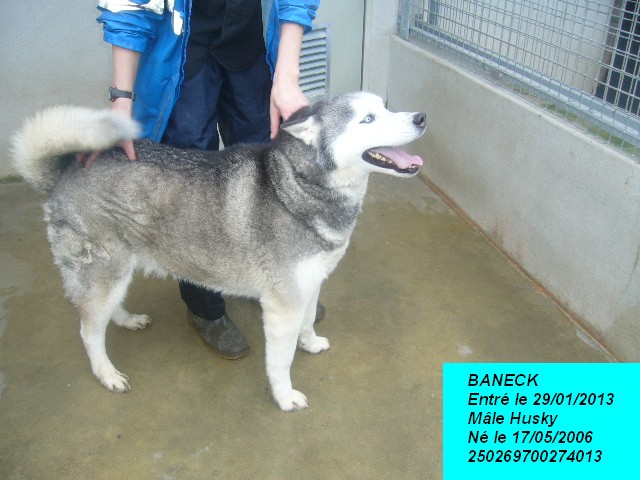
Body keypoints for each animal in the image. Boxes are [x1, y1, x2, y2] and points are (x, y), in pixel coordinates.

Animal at [11, 92, 424, 410]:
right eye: (367, 119)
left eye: (385, 106)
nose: (420, 117)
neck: (300, 187)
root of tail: (65, 169)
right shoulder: (283, 306)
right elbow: (281, 362)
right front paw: (285, 397)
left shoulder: (310, 284)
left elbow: (308, 321)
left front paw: (309, 342)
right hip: (103, 272)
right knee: (88, 330)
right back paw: (106, 373)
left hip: (117, 272)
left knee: (105, 312)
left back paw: (126, 319)